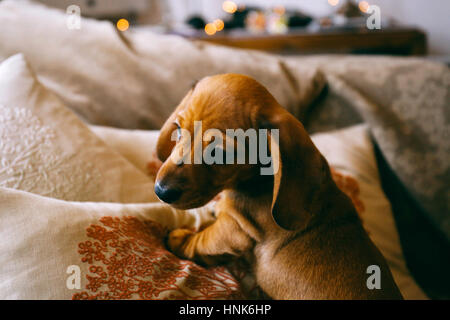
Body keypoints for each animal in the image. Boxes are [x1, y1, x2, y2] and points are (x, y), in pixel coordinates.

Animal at [154, 74, 400, 298]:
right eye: (178, 129)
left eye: (219, 153)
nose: (160, 191)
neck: (259, 182)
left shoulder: (232, 230)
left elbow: (201, 241)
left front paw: (180, 239)